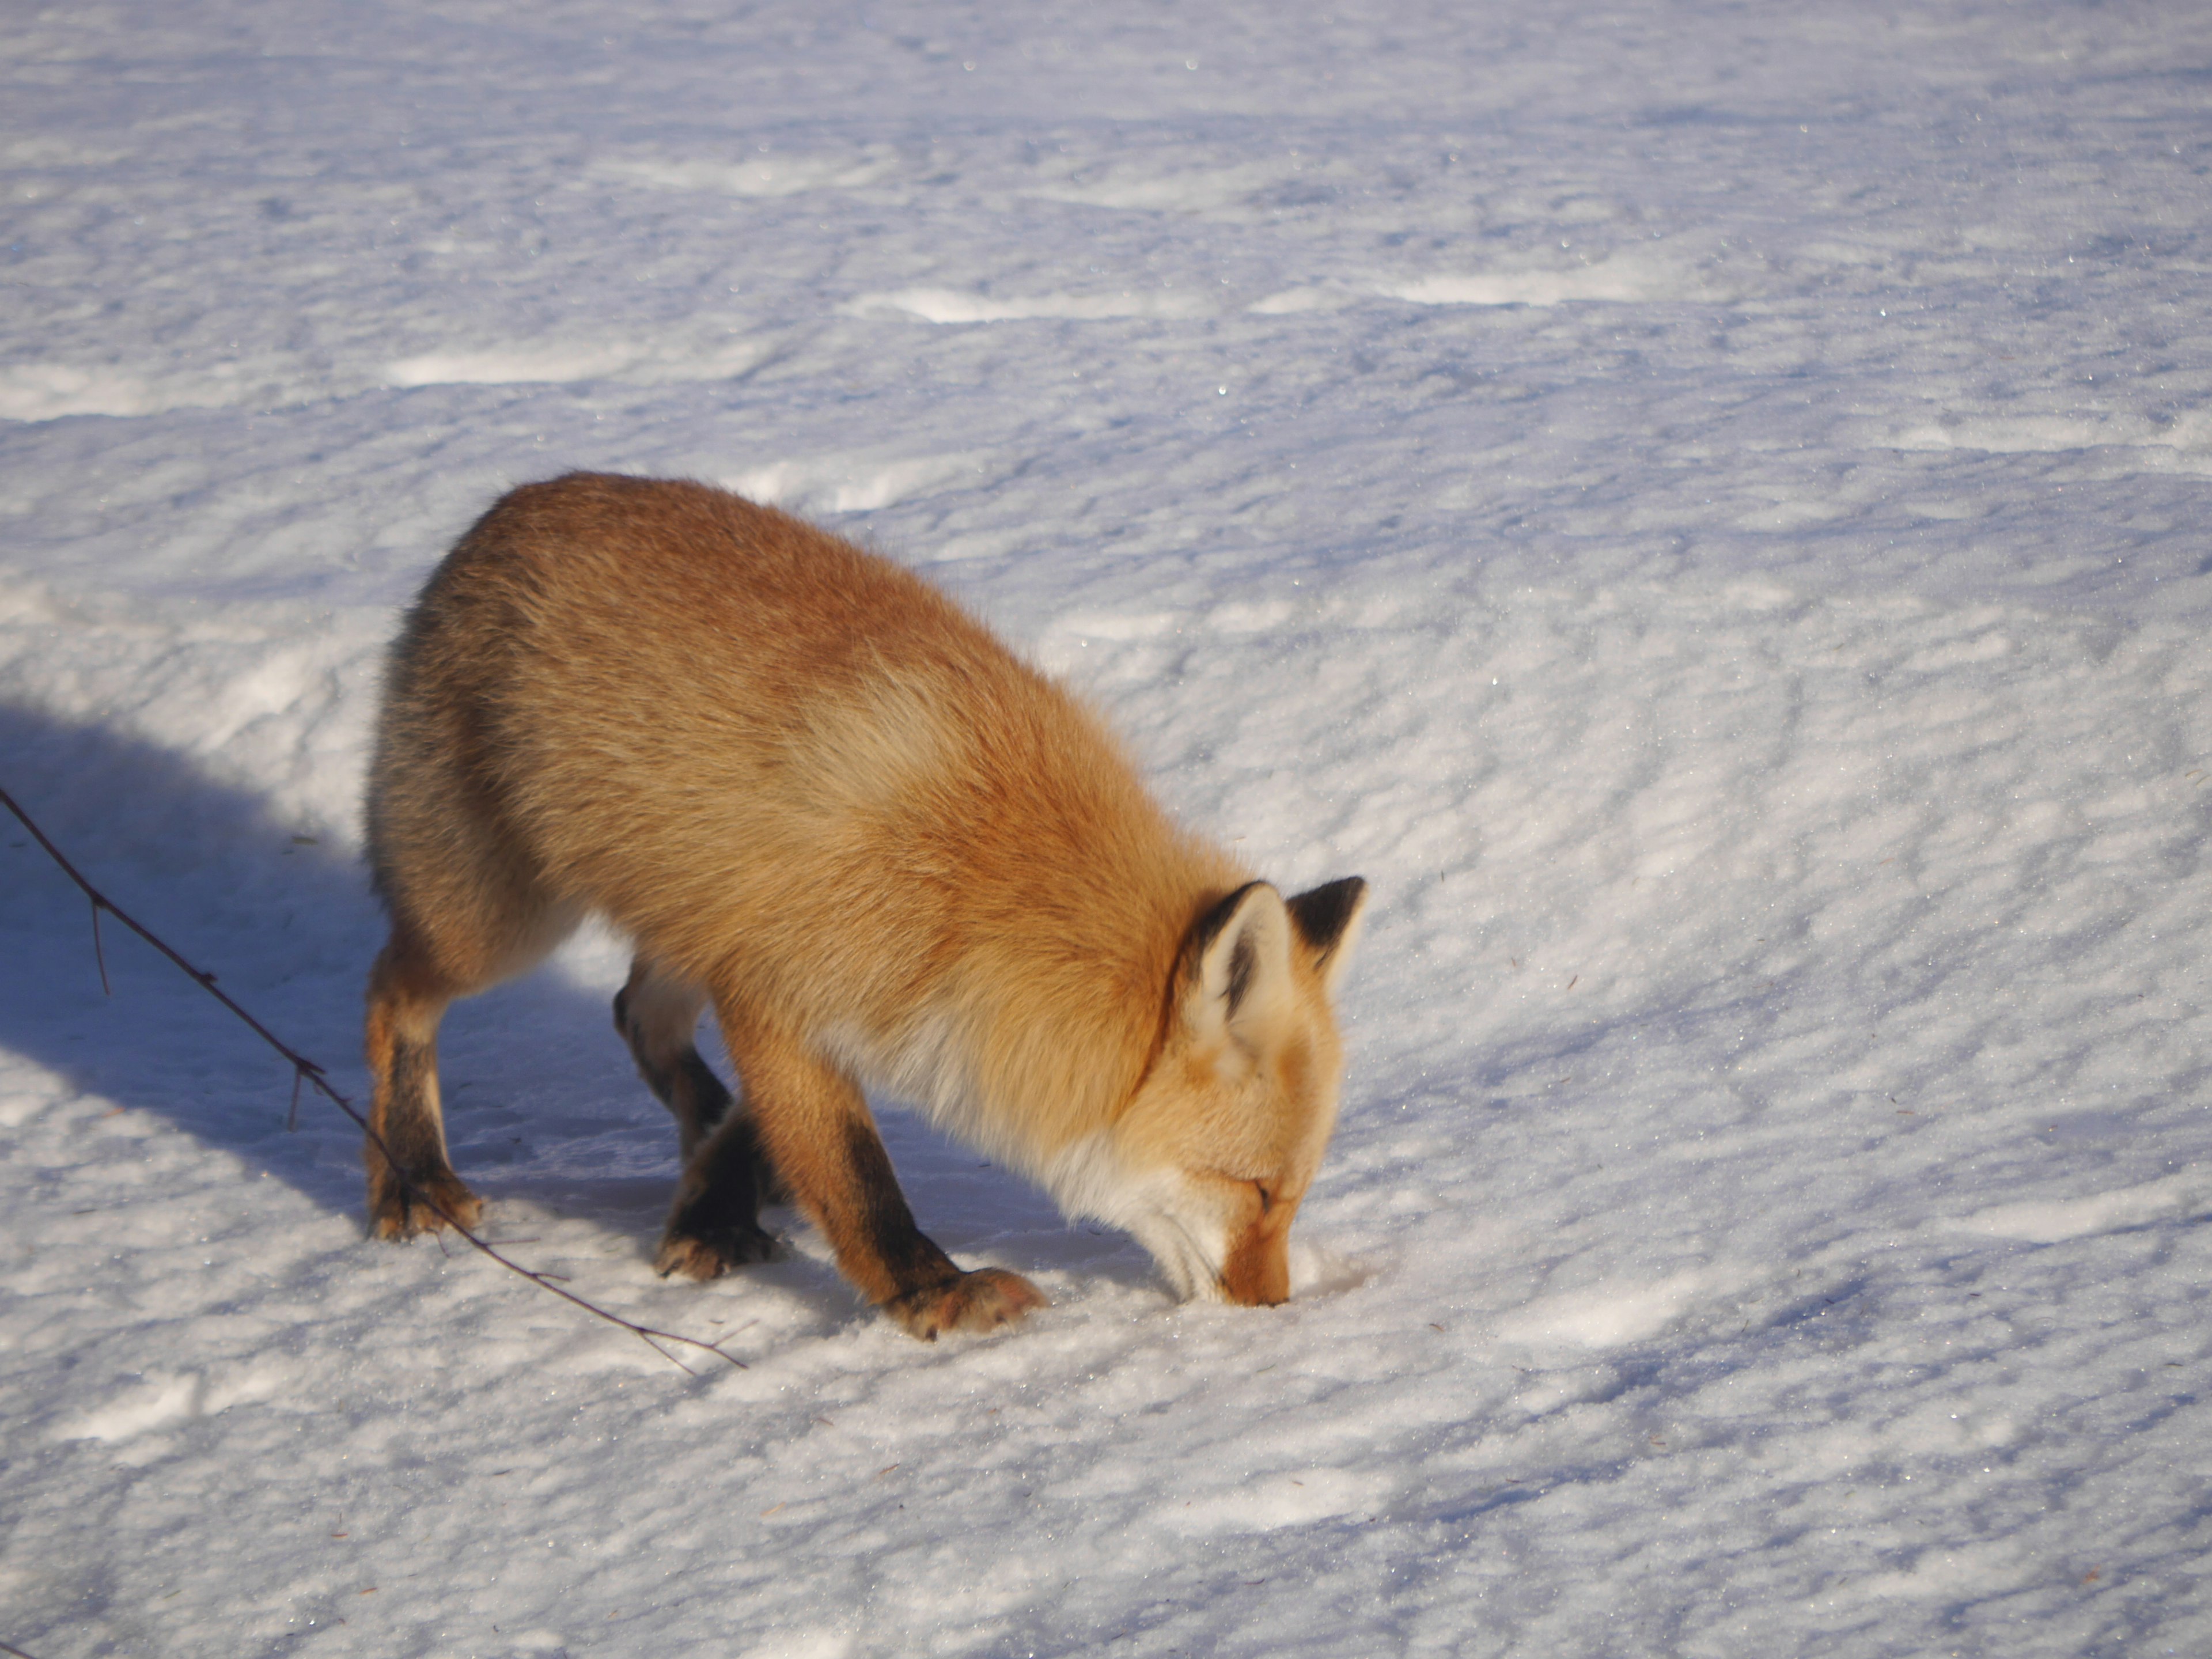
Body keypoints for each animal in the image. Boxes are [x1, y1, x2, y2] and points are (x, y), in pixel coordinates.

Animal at [362, 469, 1362, 1336]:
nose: (1274, 1308)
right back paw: (411, 1178)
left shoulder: (805, 985)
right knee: (392, 993)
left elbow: (768, 1125)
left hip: (679, 913)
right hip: (498, 920)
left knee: (635, 1014)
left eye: (1294, 1198)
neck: (980, 883)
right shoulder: (778, 989)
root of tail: (510, 504)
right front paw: (934, 1294)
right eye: (1258, 1192)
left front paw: (715, 1206)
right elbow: (856, 1176)